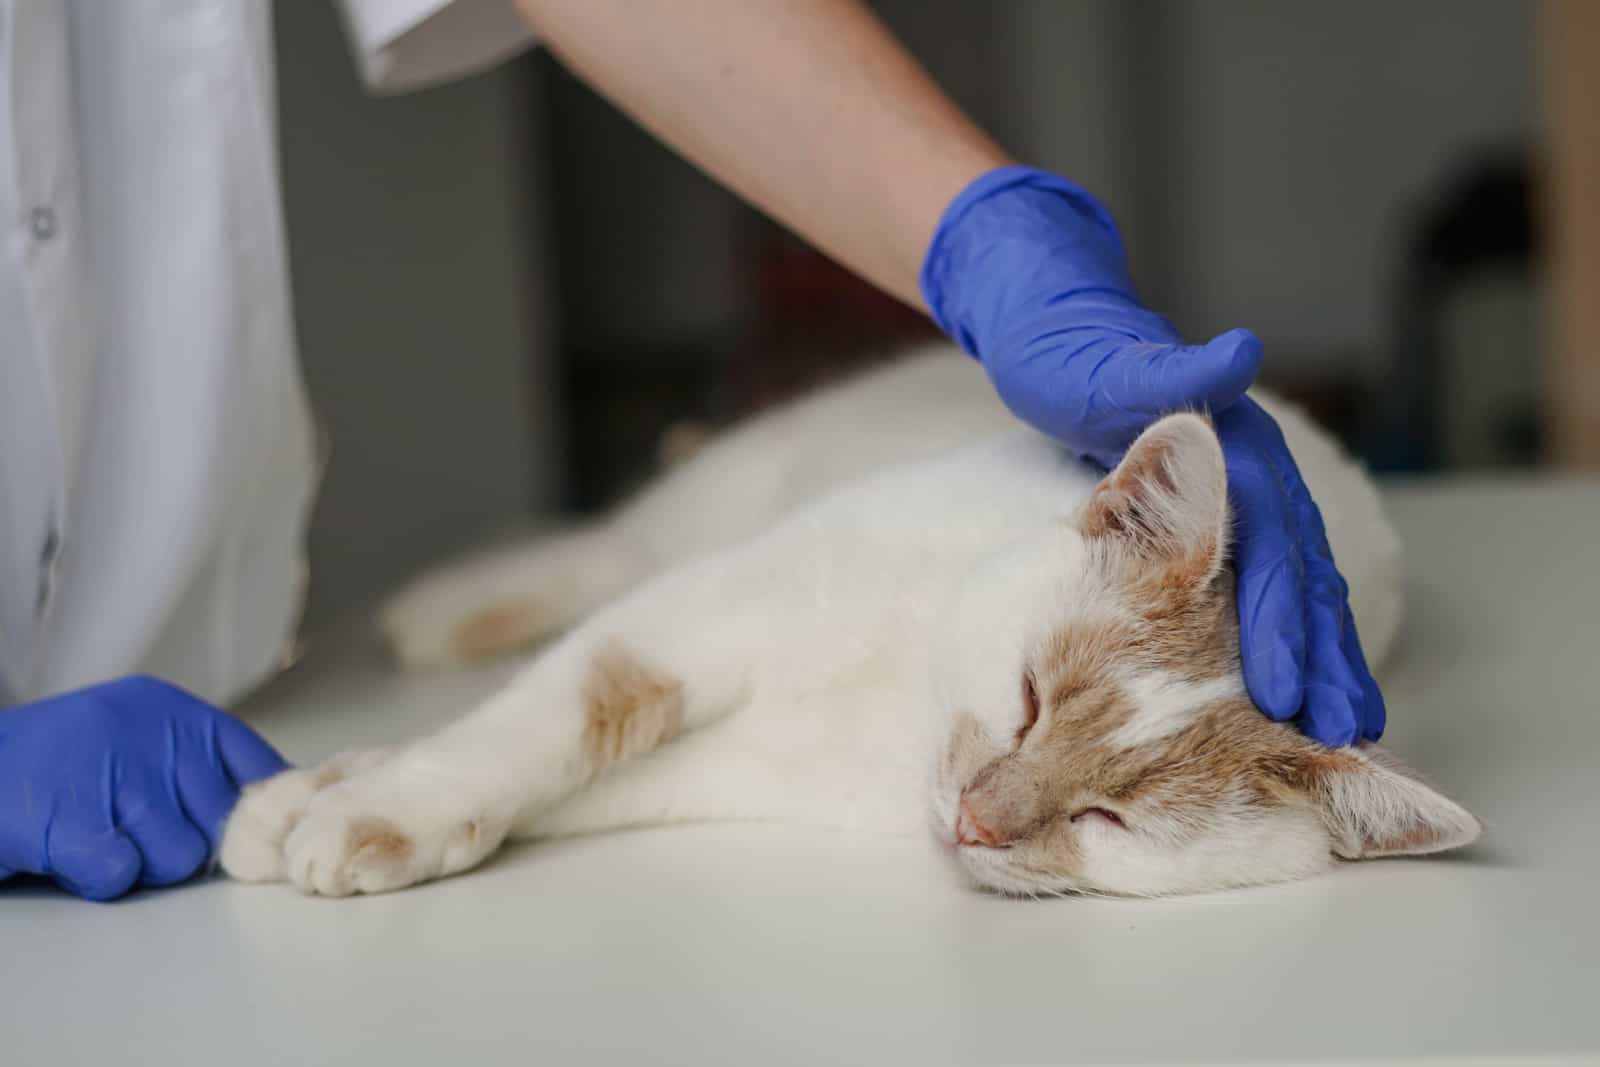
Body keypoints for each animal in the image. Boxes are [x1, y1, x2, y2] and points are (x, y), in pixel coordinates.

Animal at [219, 347, 1478, 895]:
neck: (901, 691)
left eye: (1103, 817)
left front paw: (322, 802)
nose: (974, 819)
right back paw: (445, 607)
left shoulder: (741, 765)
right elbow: (542, 722)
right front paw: (362, 797)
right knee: (607, 547)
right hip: (725, 495)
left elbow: (578, 777)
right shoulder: (703, 610)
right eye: (1027, 699)